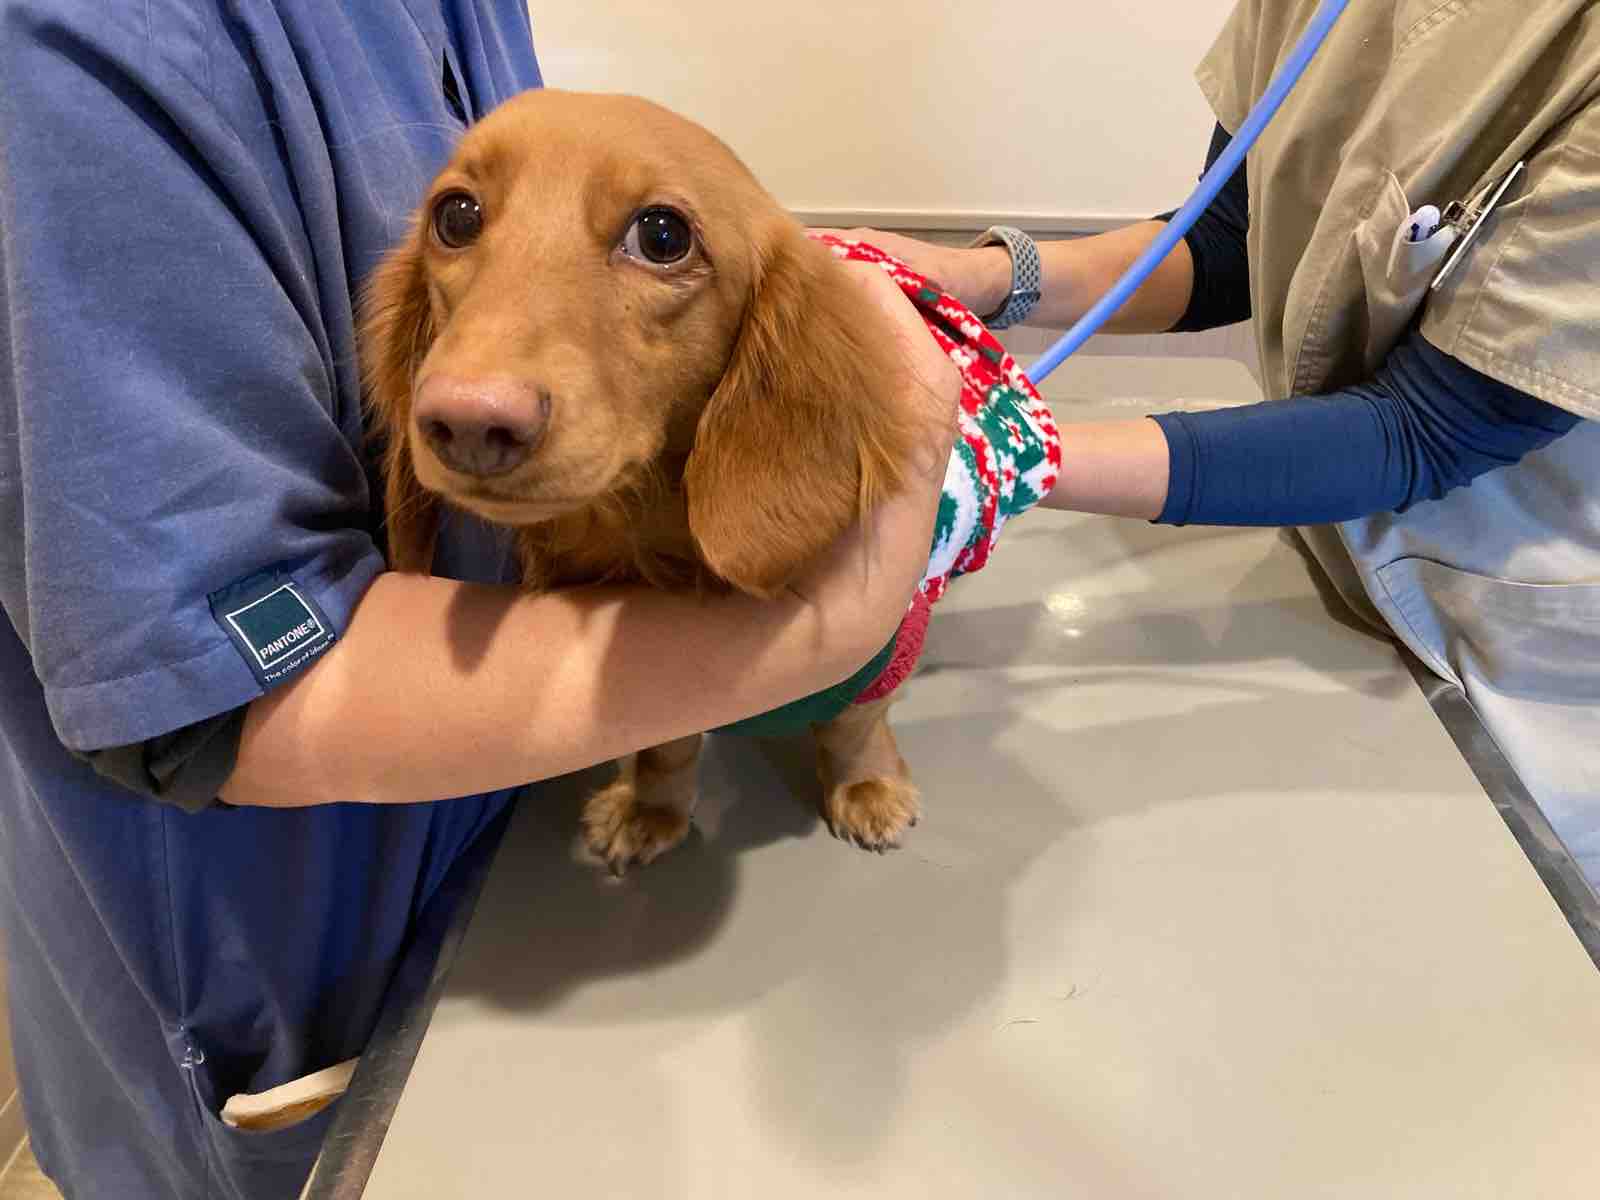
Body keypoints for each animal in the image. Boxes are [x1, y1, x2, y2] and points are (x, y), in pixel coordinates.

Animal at [360, 89, 1058, 874]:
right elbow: (665, 744)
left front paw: (868, 786)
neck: (644, 538)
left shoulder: (881, 646)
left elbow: (854, 721)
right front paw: (649, 808)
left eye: (662, 235)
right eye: (456, 215)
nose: (469, 421)